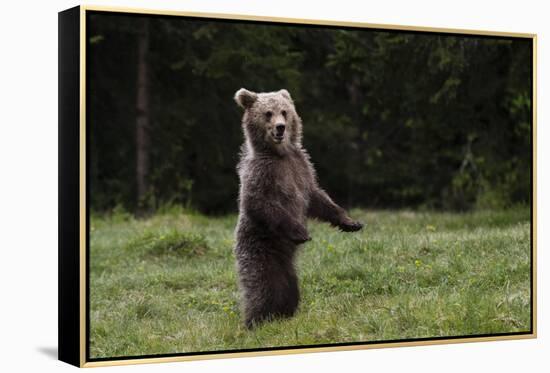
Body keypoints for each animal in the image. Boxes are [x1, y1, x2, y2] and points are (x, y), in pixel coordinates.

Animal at [235, 88, 364, 326]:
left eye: (284, 112)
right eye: (268, 113)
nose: (280, 127)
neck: (279, 154)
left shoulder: (301, 168)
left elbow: (318, 199)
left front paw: (351, 222)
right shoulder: (262, 174)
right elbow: (259, 203)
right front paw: (301, 232)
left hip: (287, 266)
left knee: (289, 289)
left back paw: (285, 314)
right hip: (261, 249)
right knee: (263, 286)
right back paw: (255, 320)